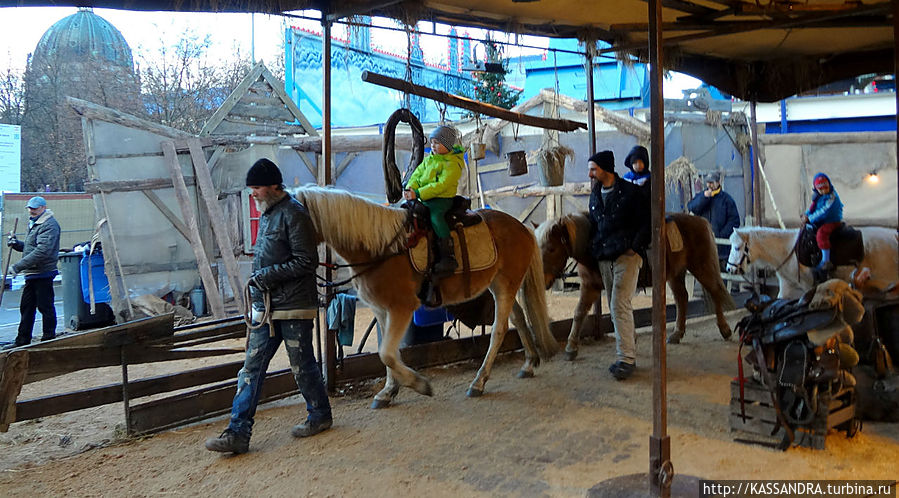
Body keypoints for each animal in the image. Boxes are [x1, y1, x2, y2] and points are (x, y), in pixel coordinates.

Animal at [294, 185, 556, 406]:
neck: (381, 248)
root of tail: (521, 227)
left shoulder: (401, 308)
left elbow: (387, 354)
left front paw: (419, 384)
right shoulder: (381, 310)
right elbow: (387, 352)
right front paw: (389, 391)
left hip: (505, 286)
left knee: (499, 331)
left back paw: (479, 382)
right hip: (500, 285)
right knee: (519, 319)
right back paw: (529, 363)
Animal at [536, 210, 736, 358]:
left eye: (552, 248)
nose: (543, 280)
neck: (597, 243)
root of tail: (700, 220)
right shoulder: (590, 286)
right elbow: (579, 313)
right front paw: (571, 347)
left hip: (702, 267)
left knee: (715, 292)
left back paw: (725, 330)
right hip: (676, 274)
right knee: (682, 298)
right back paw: (676, 334)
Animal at [728, 227, 896, 300]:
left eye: (737, 247)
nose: (729, 268)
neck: (788, 250)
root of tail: (894, 235)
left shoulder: (809, 286)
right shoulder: (786, 284)